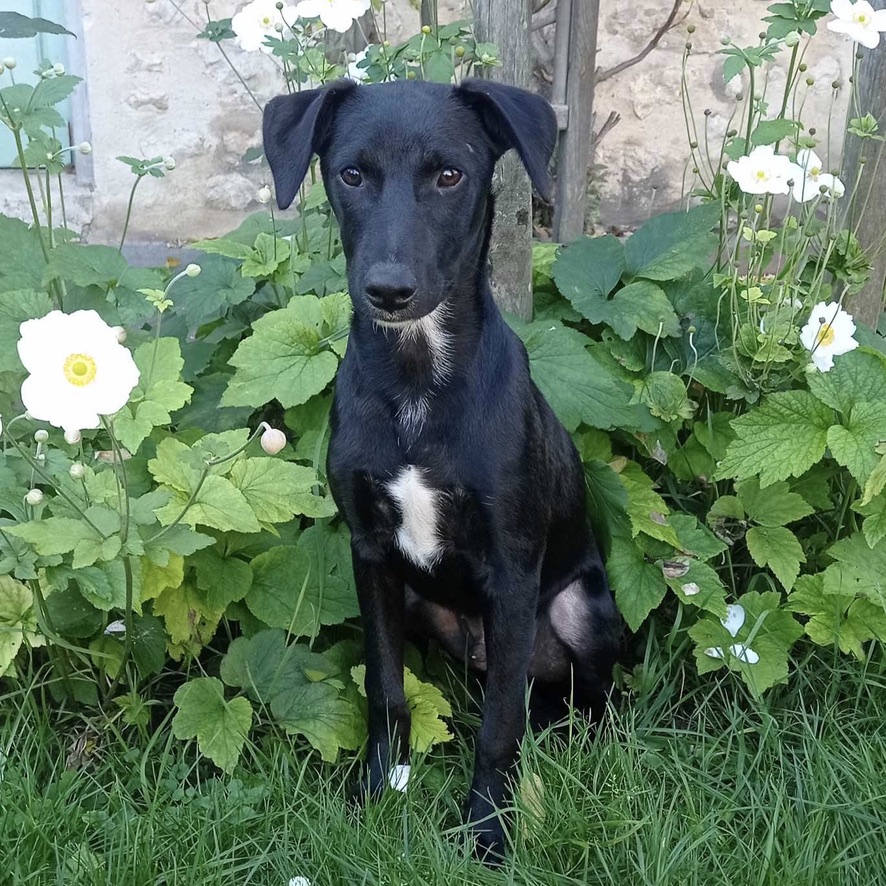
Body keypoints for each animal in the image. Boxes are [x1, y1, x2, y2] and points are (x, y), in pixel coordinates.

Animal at [264, 78, 624, 860]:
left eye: (451, 176)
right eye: (351, 174)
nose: (388, 290)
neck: (417, 384)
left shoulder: (515, 570)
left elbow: (498, 729)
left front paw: (489, 830)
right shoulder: (370, 556)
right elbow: (385, 690)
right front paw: (375, 794)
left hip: (577, 609)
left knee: (585, 698)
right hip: (420, 604)